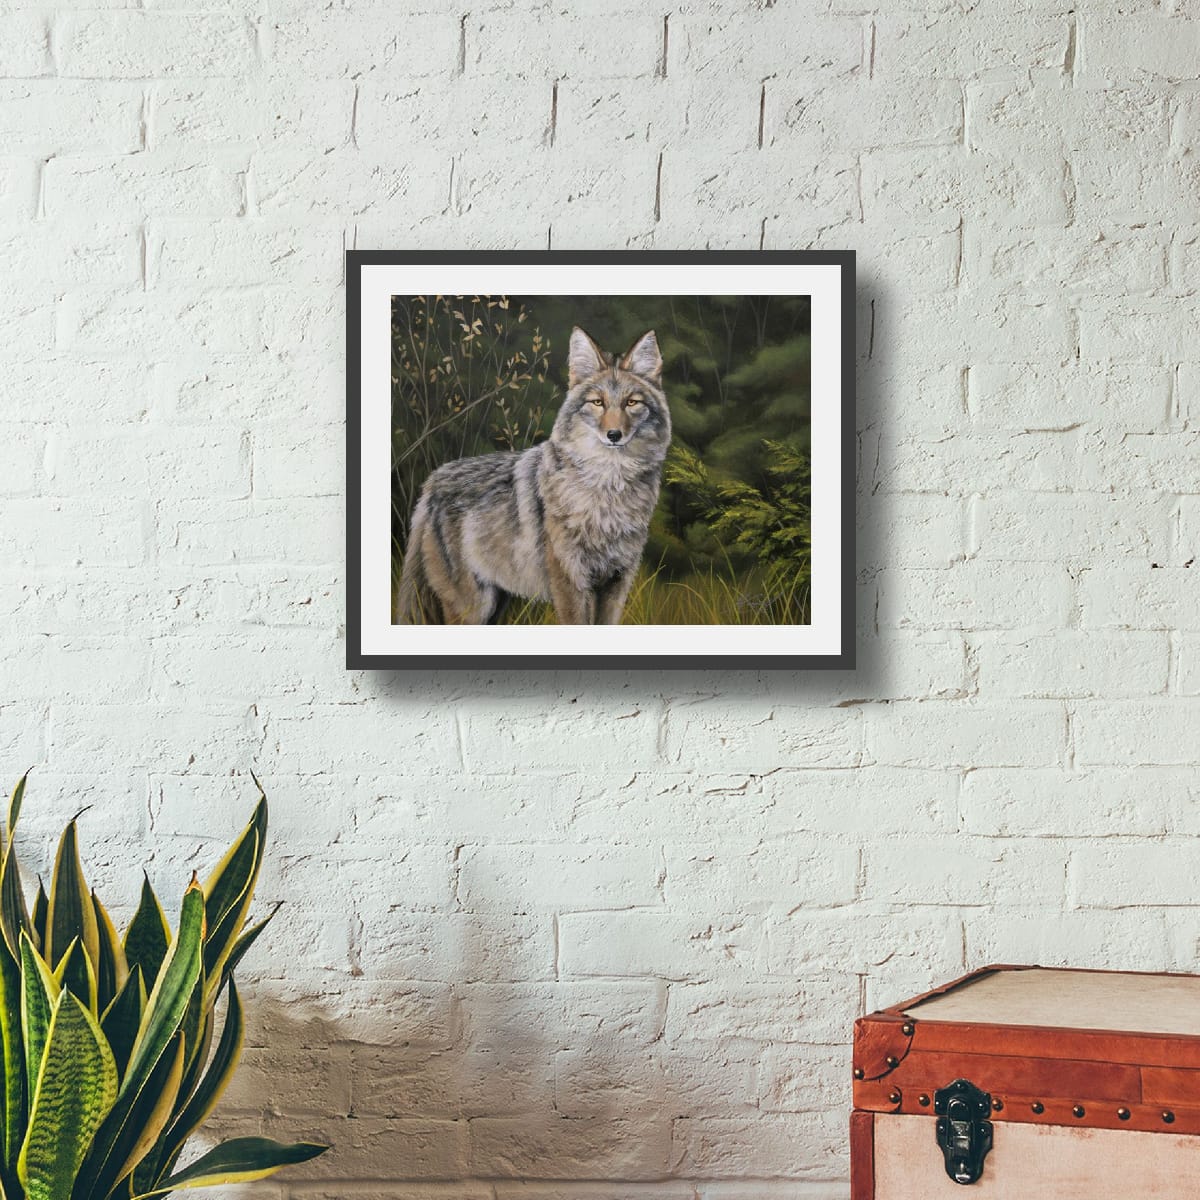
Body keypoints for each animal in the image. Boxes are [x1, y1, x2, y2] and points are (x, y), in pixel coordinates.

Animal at [395, 326, 671, 625]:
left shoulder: (616, 582)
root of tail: (432, 482)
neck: (608, 492)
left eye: (631, 403)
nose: (614, 435)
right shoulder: (570, 583)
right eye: (598, 403)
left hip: (495, 606)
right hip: (472, 608)